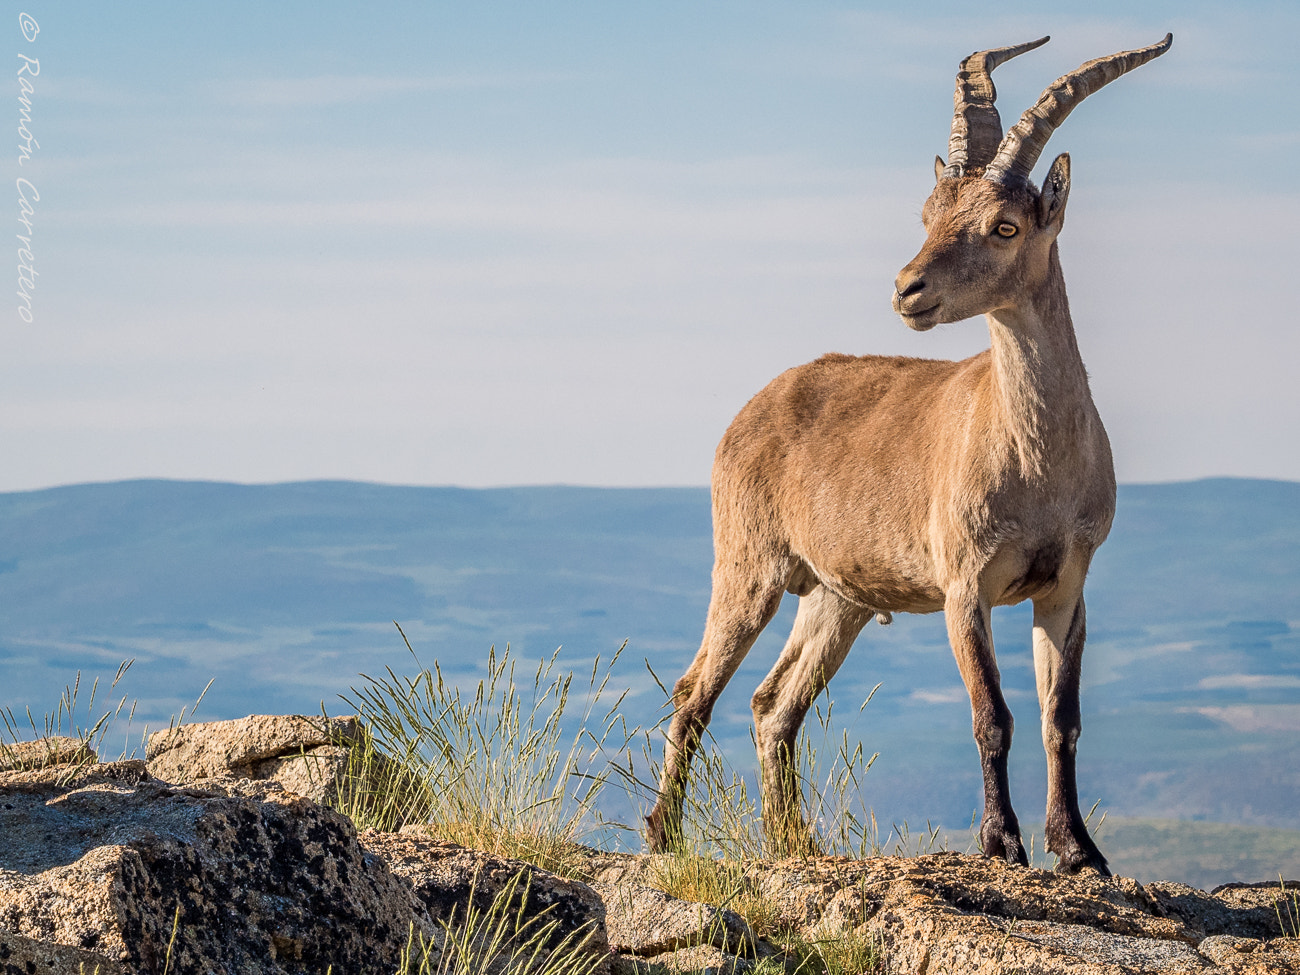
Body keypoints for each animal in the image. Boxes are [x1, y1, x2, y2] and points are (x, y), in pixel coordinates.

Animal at [644, 36, 1175, 878]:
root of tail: (752, 408)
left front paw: (1079, 849)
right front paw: (1002, 844)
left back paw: (794, 842)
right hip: (748, 565)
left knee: (773, 702)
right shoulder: (965, 584)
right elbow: (993, 715)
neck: (1038, 463)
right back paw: (663, 836)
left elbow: (1061, 718)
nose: (908, 290)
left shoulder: (1067, 585)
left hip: (838, 596)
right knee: (696, 689)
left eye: (1004, 226)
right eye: (929, 213)